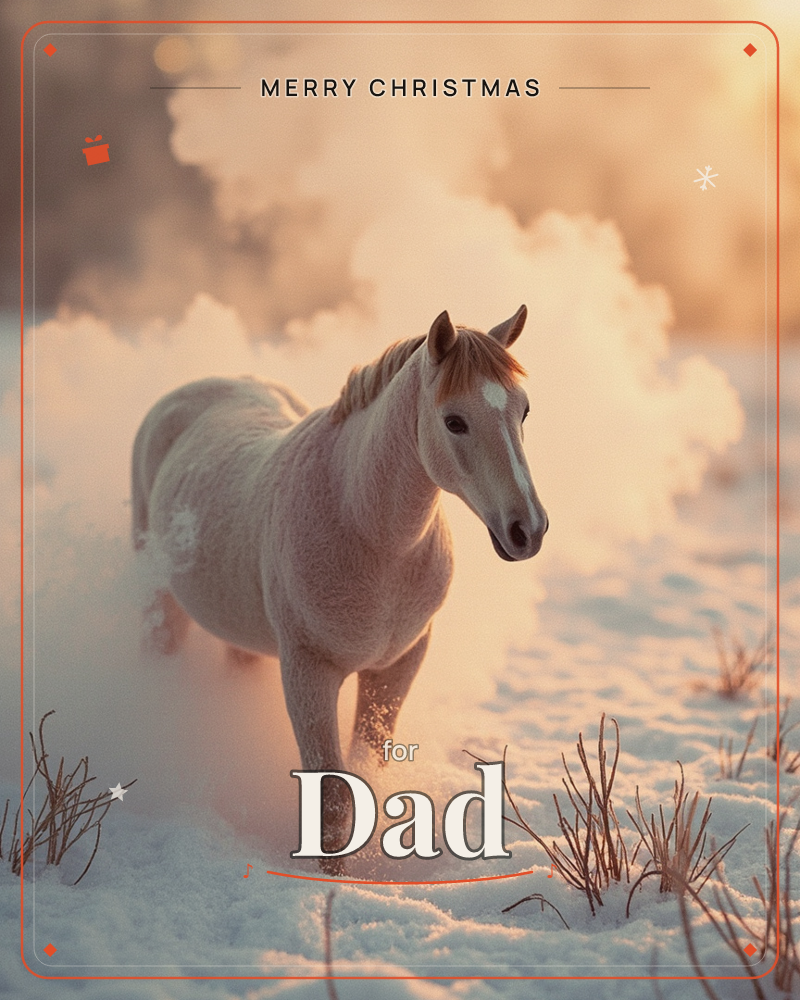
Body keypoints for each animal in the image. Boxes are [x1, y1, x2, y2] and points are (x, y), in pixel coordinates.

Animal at [131, 306, 548, 869]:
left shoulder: (397, 667)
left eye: (523, 411)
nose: (528, 529)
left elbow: (370, 772)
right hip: (161, 602)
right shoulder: (309, 671)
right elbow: (332, 800)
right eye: (454, 421)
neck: (370, 533)